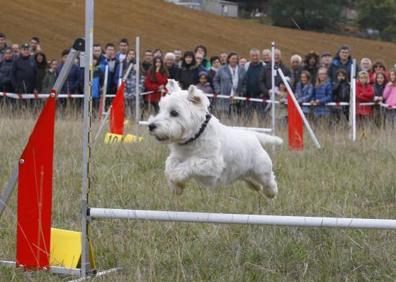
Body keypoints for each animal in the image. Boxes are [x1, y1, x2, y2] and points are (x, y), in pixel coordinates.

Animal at [148, 80, 282, 198]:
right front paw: (176, 187)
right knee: (253, 183)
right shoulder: (176, 156)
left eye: (174, 113)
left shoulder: (212, 163)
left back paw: (272, 193)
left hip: (262, 168)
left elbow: (190, 163)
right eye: (160, 109)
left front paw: (175, 178)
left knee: (269, 179)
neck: (194, 137)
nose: (151, 126)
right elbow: (170, 165)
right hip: (244, 174)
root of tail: (253, 136)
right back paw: (258, 188)